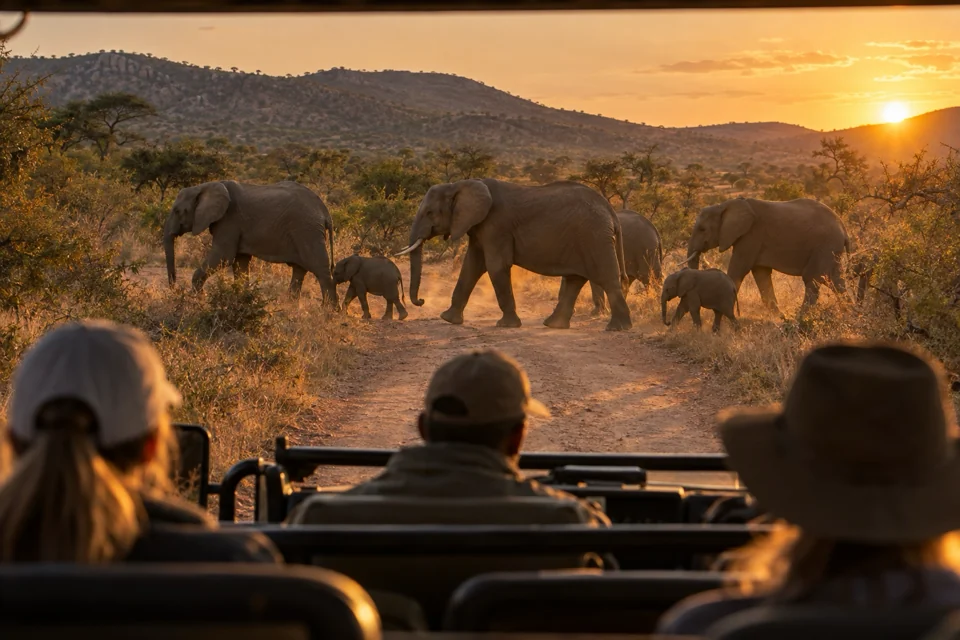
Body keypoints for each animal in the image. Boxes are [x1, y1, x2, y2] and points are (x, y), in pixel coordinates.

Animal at [163, 180, 338, 307]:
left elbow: (224, 256)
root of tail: (325, 211)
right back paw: (292, 307)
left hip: (307, 229)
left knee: (320, 268)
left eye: (178, 211)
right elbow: (240, 263)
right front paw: (240, 300)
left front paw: (197, 300)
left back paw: (329, 311)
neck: (204, 186)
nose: (173, 287)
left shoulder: (229, 220)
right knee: (299, 269)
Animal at [397, 179, 632, 331]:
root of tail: (610, 211)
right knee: (575, 279)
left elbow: (495, 266)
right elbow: (471, 266)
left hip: (594, 237)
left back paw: (618, 328)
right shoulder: (480, 227)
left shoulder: (496, 225)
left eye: (430, 213)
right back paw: (554, 325)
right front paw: (448, 319)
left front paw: (506, 326)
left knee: (607, 279)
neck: (459, 184)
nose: (421, 301)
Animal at [686, 197, 849, 314]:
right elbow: (761, 274)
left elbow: (738, 269)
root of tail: (843, 227)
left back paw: (800, 318)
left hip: (824, 246)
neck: (724, 205)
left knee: (812, 279)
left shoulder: (751, 236)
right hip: (831, 250)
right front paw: (778, 316)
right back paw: (849, 312)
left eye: (702, 229)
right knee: (836, 281)